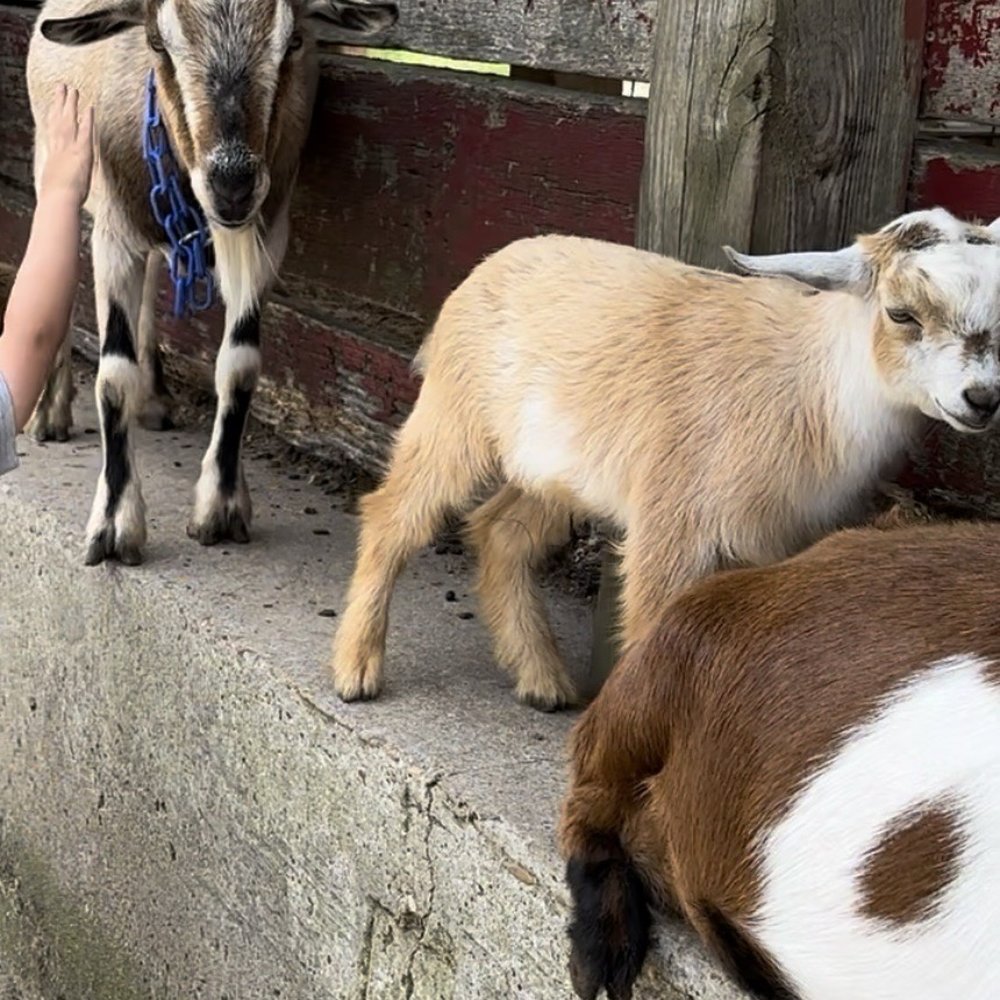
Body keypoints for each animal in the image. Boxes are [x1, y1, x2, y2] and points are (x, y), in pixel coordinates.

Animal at [26, 0, 398, 564]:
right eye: (157, 43)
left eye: (293, 42)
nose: (232, 185)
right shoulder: (115, 233)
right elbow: (112, 375)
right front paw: (114, 526)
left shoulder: (266, 234)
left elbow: (240, 365)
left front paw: (220, 506)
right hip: (53, 166)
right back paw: (50, 413)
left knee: (153, 282)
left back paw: (154, 401)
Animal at [329, 207, 1000, 710]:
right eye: (901, 312)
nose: (982, 398)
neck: (811, 383)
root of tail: (491, 263)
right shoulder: (674, 522)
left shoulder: (772, 540)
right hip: (454, 416)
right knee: (393, 513)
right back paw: (356, 670)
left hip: (556, 468)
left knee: (500, 531)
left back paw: (543, 682)